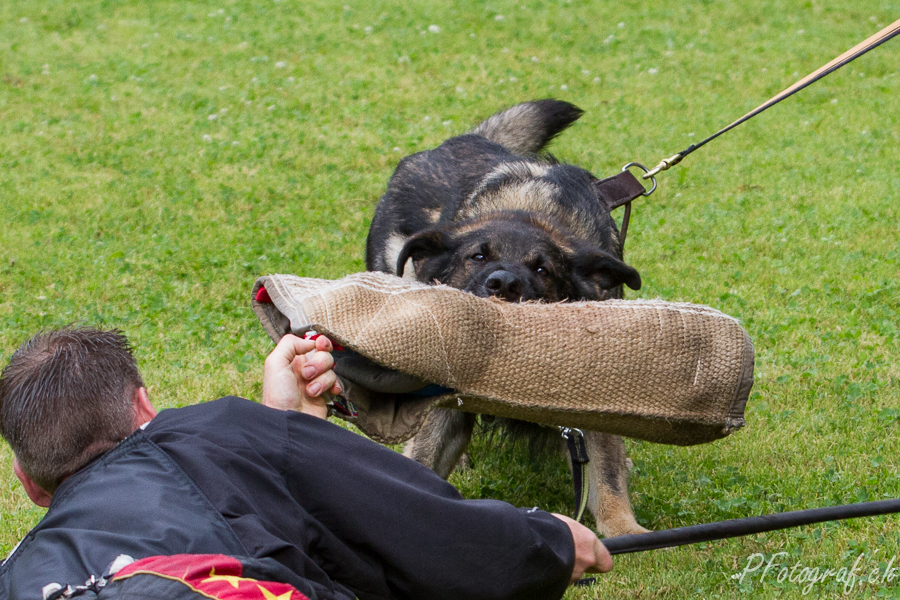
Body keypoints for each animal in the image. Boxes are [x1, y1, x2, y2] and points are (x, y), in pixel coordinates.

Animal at [364, 101, 648, 536]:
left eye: (543, 269)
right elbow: (424, 455)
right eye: (477, 256)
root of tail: (457, 141)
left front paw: (626, 532)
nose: (503, 283)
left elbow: (608, 477)